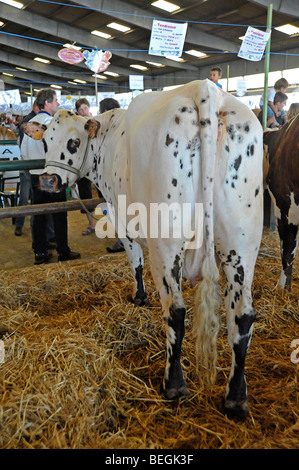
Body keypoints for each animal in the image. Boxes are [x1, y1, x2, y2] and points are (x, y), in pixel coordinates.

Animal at [22, 81, 264, 418]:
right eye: (45, 142)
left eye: (73, 142)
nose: (47, 180)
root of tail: (204, 90)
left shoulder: (123, 220)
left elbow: (134, 262)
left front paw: (138, 297)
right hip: (241, 241)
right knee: (242, 316)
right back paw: (236, 397)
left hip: (167, 243)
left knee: (175, 311)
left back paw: (172, 384)